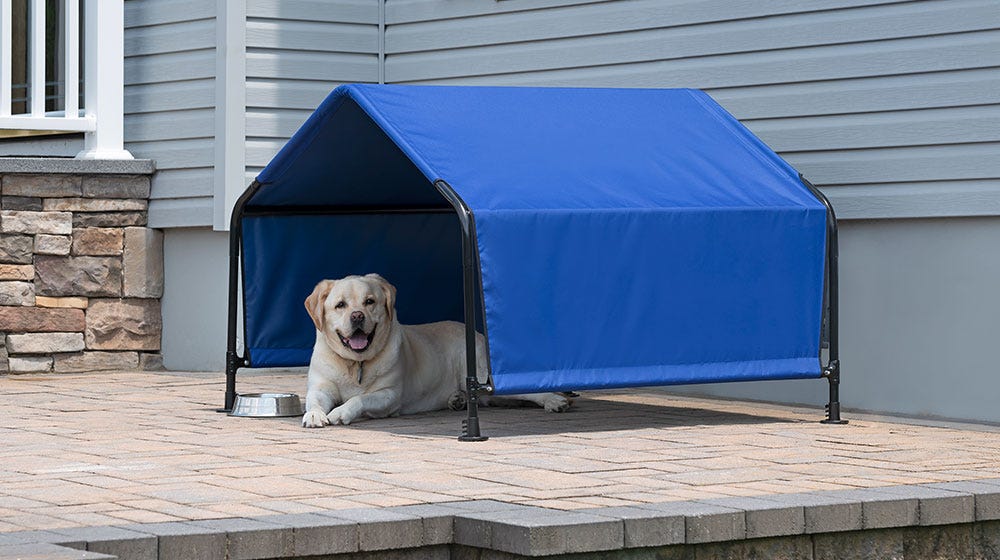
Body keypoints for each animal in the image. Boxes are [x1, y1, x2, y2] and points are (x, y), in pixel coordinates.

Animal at [300, 274, 572, 426]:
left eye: (370, 302)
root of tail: (476, 333)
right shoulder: (321, 387)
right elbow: (314, 400)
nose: (357, 316)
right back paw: (457, 399)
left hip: (483, 374)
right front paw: (314, 415)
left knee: (524, 390)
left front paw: (341, 412)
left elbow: (360, 398)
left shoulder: (388, 396)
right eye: (340, 305)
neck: (355, 363)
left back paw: (556, 400)